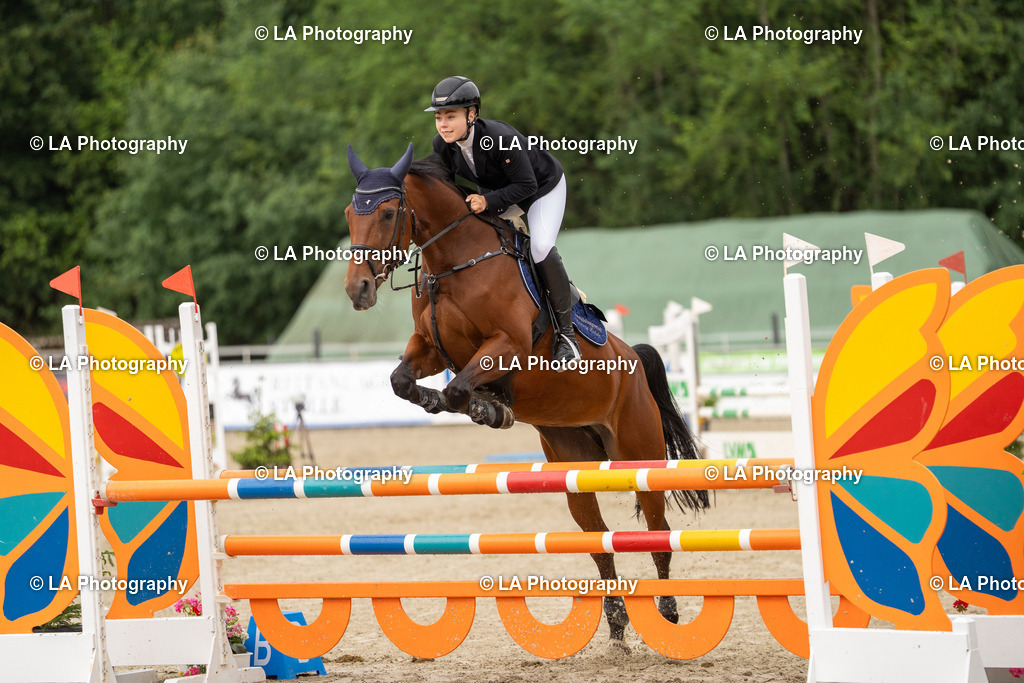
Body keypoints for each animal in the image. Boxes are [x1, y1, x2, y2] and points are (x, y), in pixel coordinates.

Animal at [342, 143, 710, 648]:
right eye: (349, 214)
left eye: (387, 212)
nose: (356, 290)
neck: (454, 261)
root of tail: (631, 357)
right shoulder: (430, 348)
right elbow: (403, 381)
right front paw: (446, 402)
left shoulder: (508, 346)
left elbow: (460, 388)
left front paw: (489, 407)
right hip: (573, 465)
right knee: (599, 541)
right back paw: (617, 624)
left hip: (640, 454)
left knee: (658, 533)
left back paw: (668, 616)